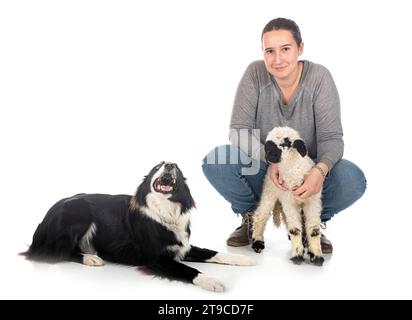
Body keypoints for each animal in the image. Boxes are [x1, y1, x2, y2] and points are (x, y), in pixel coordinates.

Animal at [23, 162, 254, 292]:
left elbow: (213, 252)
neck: (165, 211)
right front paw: (212, 281)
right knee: (58, 251)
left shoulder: (183, 246)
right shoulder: (157, 258)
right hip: (77, 213)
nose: (170, 164)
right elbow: (189, 270)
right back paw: (90, 258)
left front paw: (243, 259)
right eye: (157, 167)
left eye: (178, 168)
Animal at [251, 126, 326, 266]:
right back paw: (257, 243)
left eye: (286, 143)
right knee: (260, 216)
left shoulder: (313, 202)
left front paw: (316, 256)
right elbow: (295, 229)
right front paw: (297, 256)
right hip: (270, 191)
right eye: (268, 144)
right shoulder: (289, 202)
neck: (295, 171)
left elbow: (314, 230)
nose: (269, 156)